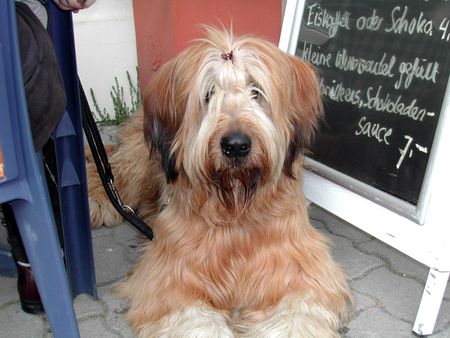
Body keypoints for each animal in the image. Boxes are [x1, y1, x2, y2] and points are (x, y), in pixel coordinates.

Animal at [86, 27, 350, 336]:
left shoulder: (299, 267)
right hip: (139, 161)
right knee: (113, 170)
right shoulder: (171, 276)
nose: (236, 146)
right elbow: (193, 317)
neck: (235, 209)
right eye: (209, 94)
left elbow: (297, 310)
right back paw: (96, 199)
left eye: (256, 91)